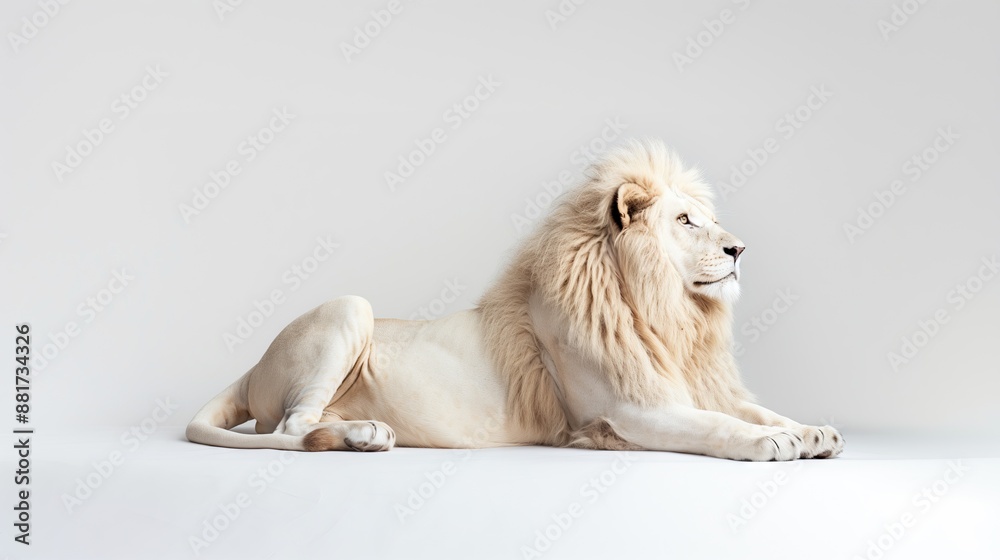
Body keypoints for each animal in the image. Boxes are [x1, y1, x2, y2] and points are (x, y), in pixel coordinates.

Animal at [186, 139, 843, 461]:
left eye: (710, 219)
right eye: (685, 221)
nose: (739, 248)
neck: (666, 316)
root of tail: (252, 367)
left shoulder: (689, 383)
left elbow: (752, 408)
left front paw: (812, 431)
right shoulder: (629, 411)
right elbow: (717, 426)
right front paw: (769, 444)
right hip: (350, 306)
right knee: (289, 428)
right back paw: (360, 437)